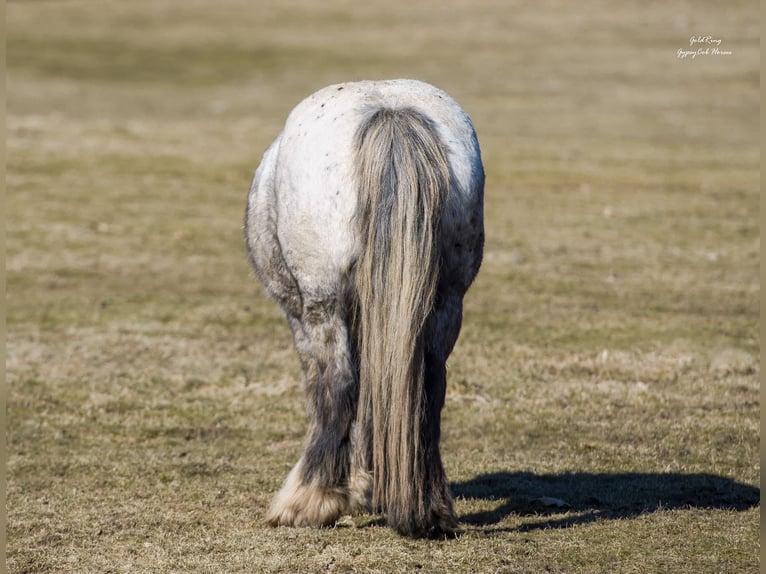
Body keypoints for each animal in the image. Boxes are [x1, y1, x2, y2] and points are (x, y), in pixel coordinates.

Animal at [246, 79, 486, 536]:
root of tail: (390, 111)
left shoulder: (303, 318)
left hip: (323, 305)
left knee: (338, 385)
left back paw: (308, 500)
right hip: (446, 303)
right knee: (427, 385)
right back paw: (429, 509)